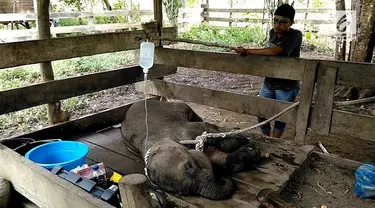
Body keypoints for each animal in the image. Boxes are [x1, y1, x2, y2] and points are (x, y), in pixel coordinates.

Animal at [121, 99, 262, 200]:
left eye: (189, 166)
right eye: (181, 193)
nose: (222, 179)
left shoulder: (183, 129)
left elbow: (208, 131)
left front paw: (244, 141)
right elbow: (216, 157)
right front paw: (251, 151)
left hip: (176, 106)